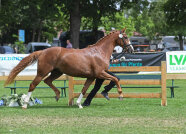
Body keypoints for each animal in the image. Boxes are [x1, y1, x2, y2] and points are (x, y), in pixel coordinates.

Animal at [4, 27, 134, 108]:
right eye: (125, 37)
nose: (131, 49)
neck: (99, 52)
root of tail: (42, 51)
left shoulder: (91, 77)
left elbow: (84, 89)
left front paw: (79, 104)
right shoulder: (100, 73)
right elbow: (115, 79)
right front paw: (120, 95)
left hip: (57, 72)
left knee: (48, 81)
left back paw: (57, 95)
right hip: (42, 72)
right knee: (33, 85)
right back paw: (25, 104)